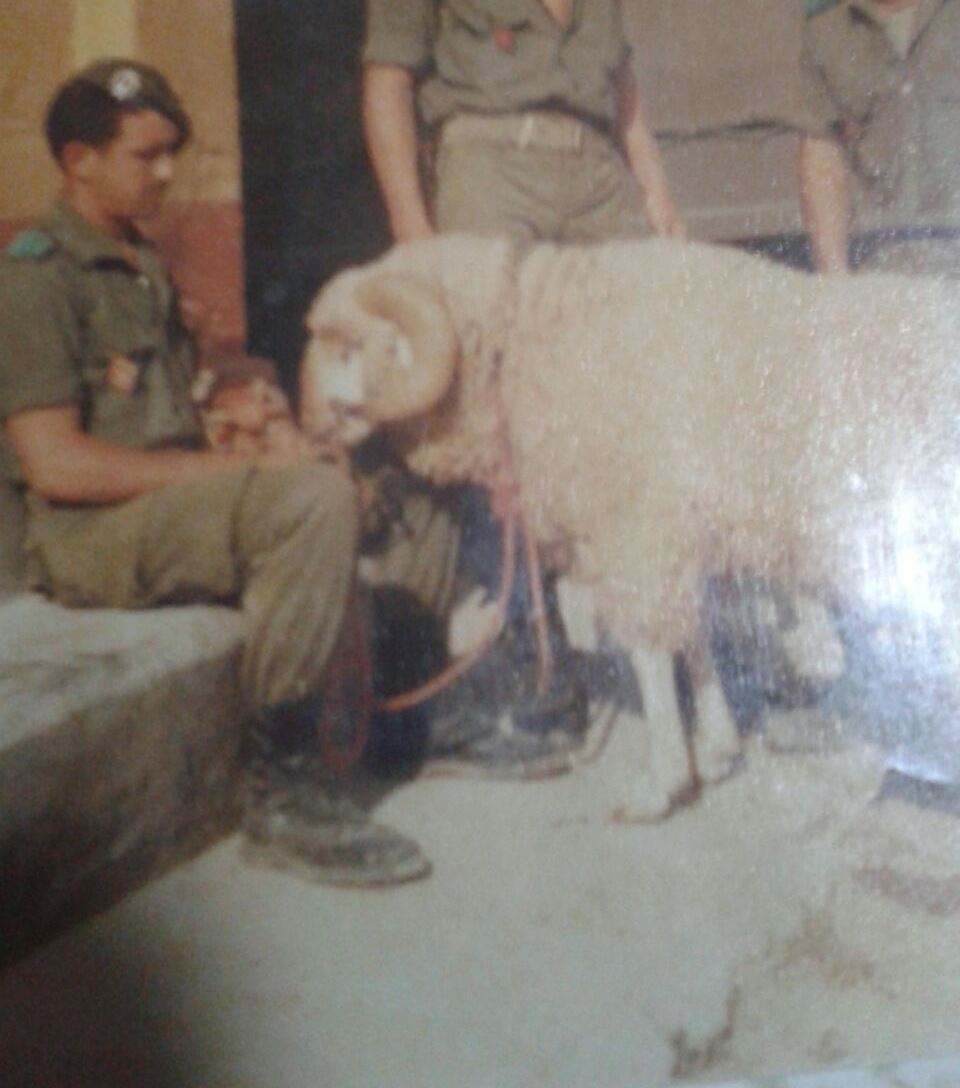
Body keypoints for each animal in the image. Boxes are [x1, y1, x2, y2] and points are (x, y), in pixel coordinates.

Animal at [299, 233, 960, 820]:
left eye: (349, 347)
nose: (306, 423)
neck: (527, 344)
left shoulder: (640, 532)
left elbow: (650, 654)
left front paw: (662, 781)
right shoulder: (670, 537)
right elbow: (694, 638)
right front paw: (717, 749)